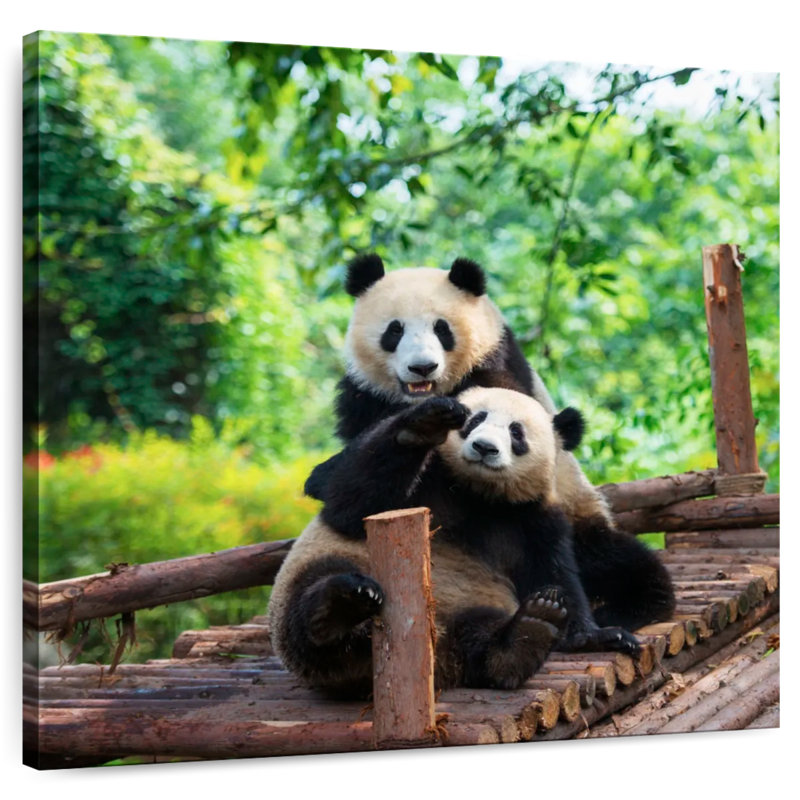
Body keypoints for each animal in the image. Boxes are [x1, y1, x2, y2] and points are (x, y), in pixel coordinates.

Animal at [269, 387, 640, 699]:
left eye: (516, 433)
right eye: (475, 420)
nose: (484, 447)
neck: (478, 494)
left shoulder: (532, 518)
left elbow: (555, 571)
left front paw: (596, 634)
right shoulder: (427, 482)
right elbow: (351, 505)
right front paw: (423, 425)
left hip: (469, 607)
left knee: (479, 637)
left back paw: (526, 635)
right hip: (325, 573)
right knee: (314, 594)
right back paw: (342, 607)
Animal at [305, 254, 675, 635]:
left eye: (442, 329)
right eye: (395, 330)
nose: (423, 367)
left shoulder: (496, 367)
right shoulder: (363, 397)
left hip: (580, 514)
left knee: (622, 562)